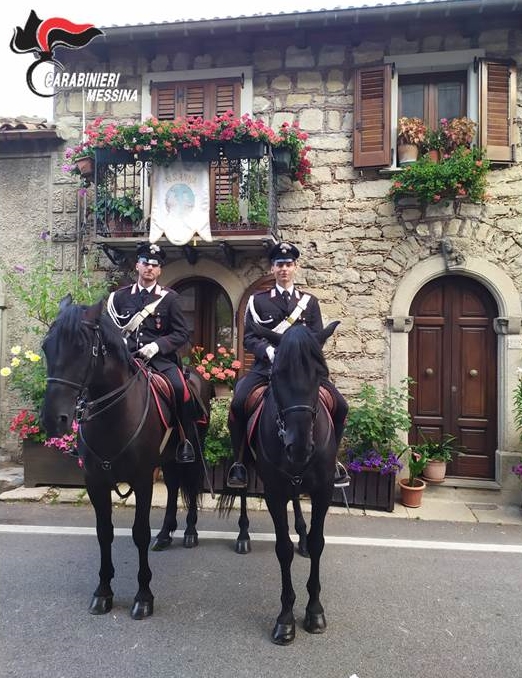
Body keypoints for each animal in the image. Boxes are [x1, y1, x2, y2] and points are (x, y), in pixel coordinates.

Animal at [41, 298, 209, 620]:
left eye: (82, 347)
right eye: (46, 346)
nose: (53, 420)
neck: (113, 414)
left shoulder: (142, 479)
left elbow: (139, 533)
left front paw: (143, 597)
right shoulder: (95, 482)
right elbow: (103, 532)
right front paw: (103, 591)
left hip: (192, 449)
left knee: (190, 486)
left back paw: (190, 532)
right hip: (166, 459)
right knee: (172, 488)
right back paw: (165, 534)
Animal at [220, 322, 340, 644]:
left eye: (320, 373)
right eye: (276, 375)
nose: (298, 448)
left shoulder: (323, 491)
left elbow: (319, 541)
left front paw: (314, 611)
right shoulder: (274, 493)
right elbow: (282, 549)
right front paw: (286, 619)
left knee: (298, 505)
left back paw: (302, 537)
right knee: (243, 494)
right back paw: (243, 536)